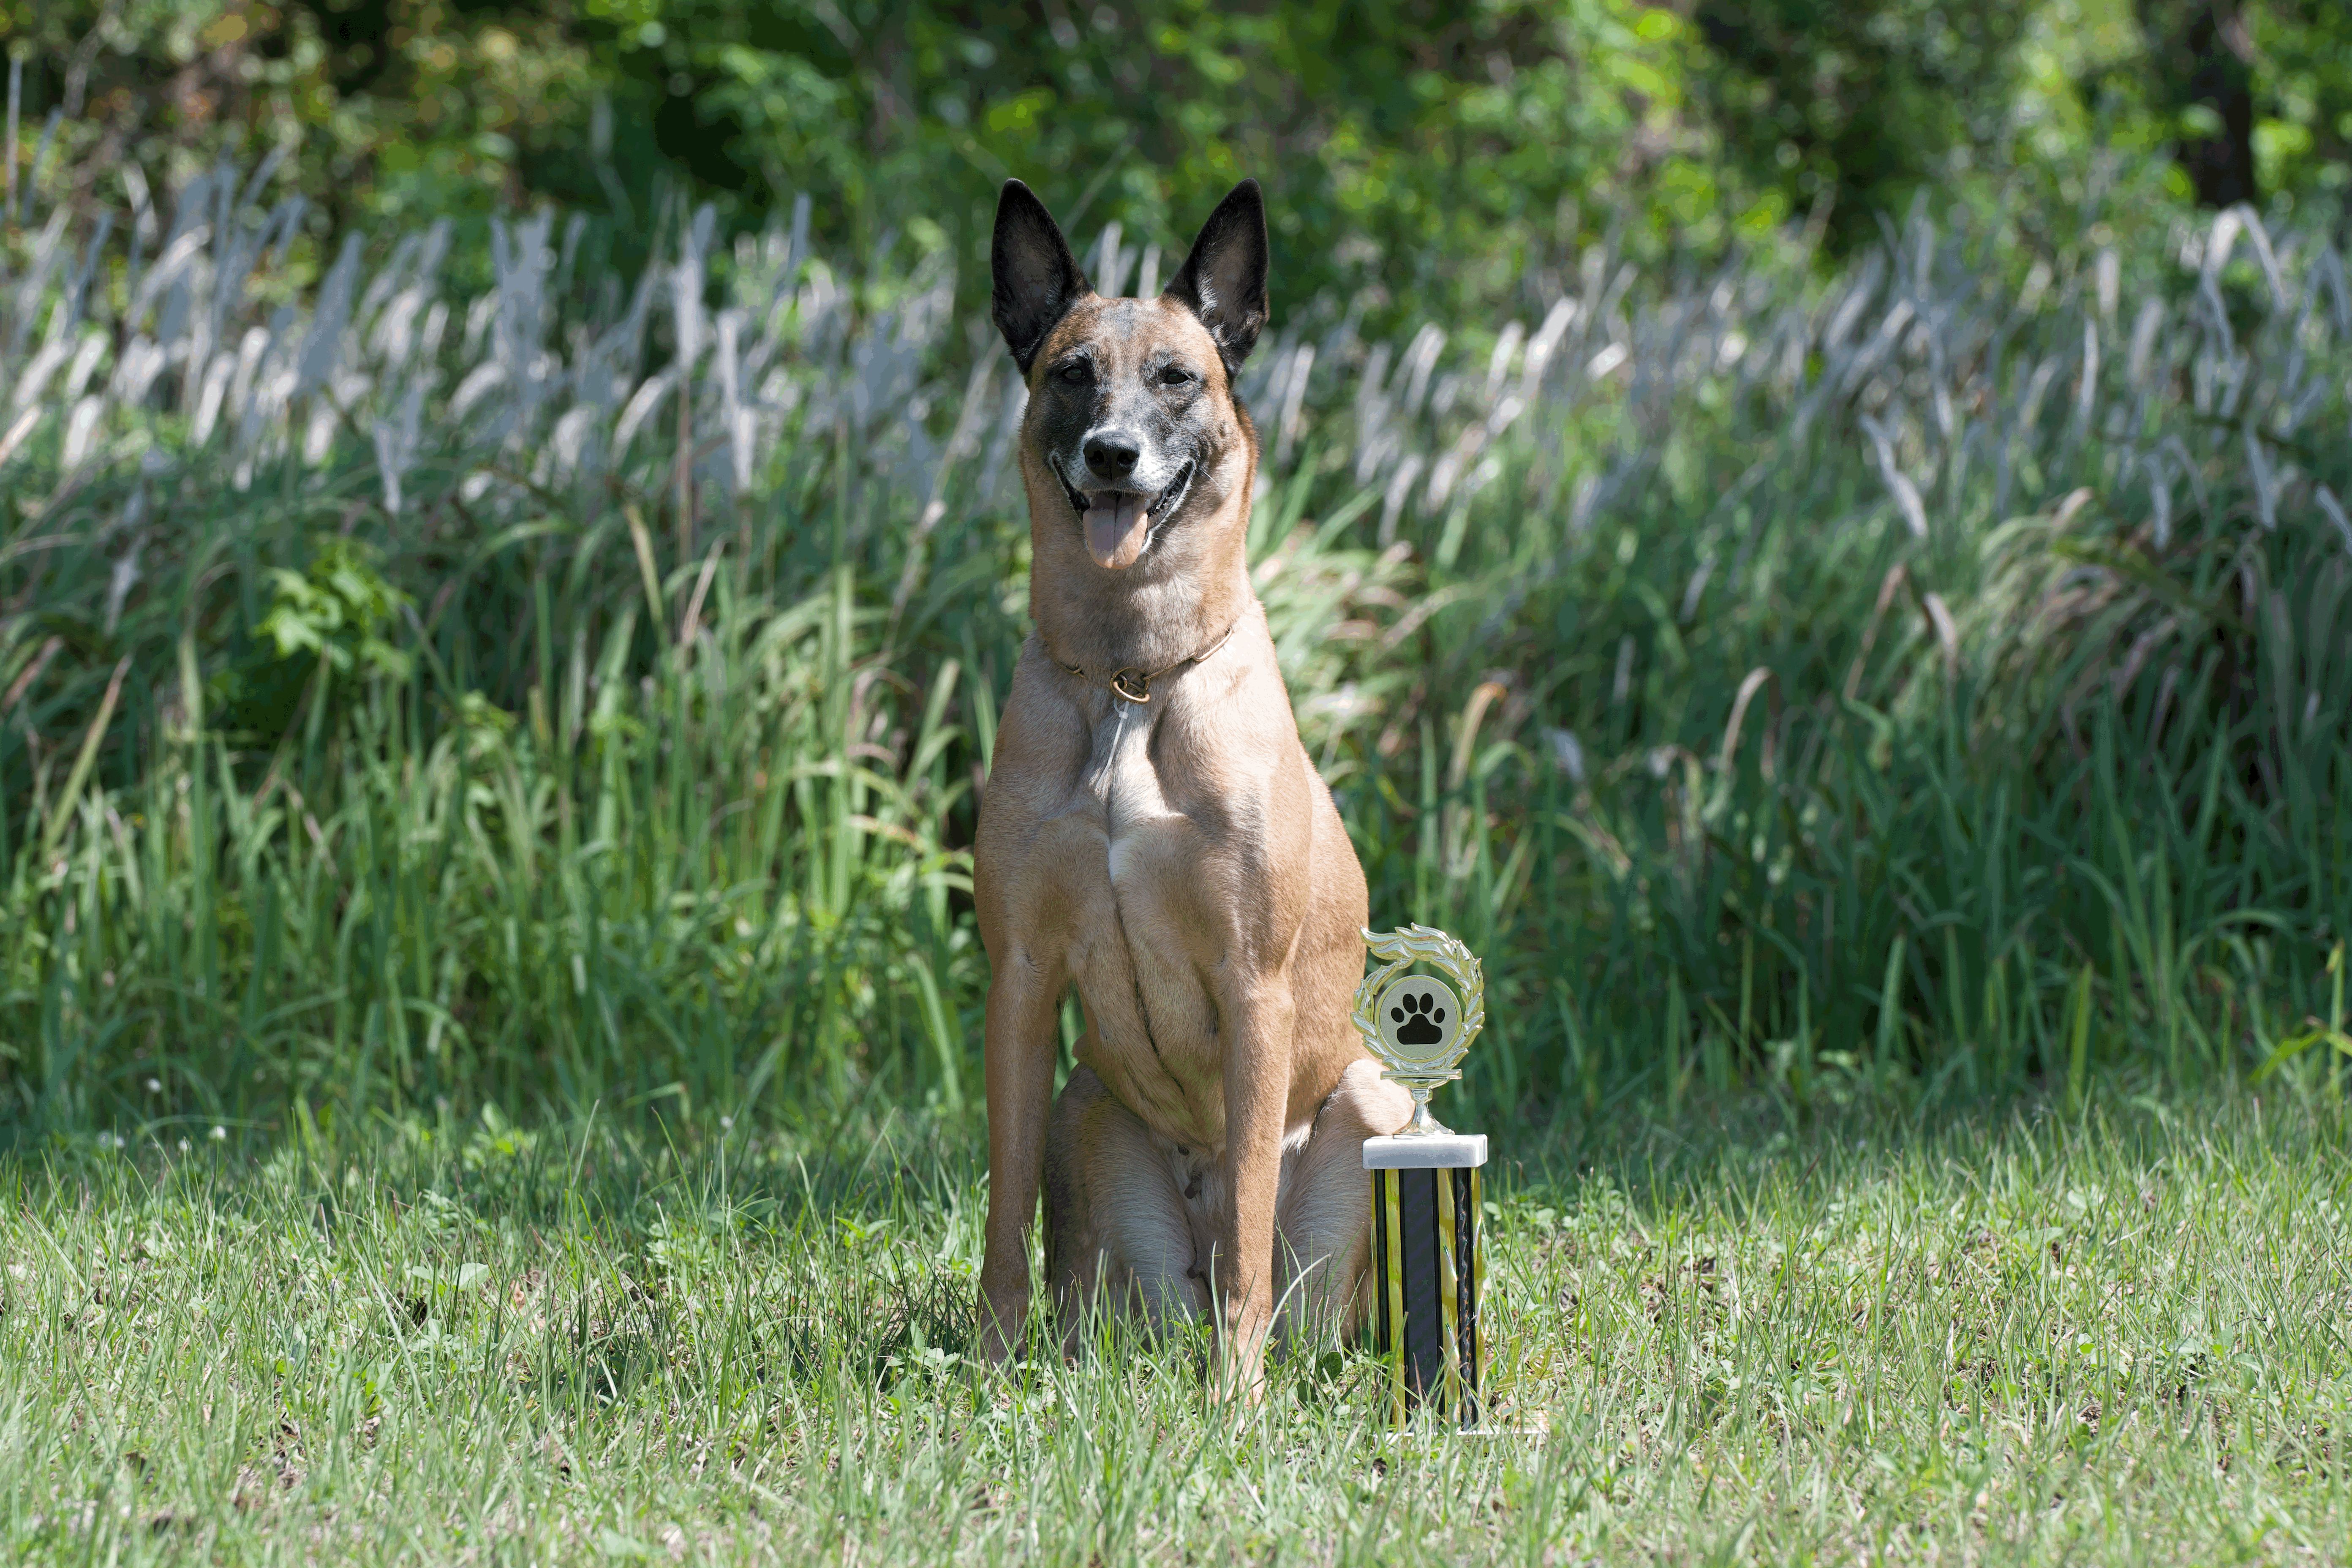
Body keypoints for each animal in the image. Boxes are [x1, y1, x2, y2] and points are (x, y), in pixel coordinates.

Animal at [972, 177, 1409, 1397]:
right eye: (1071, 371)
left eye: (1177, 376)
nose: (1113, 454)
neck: (1133, 676)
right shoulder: (1020, 982)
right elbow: (1001, 1221)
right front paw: (987, 1368)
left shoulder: (1252, 986)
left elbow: (1256, 1225)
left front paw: (1237, 1399)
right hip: (1085, 1105)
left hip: (1383, 1101)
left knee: (1267, 1262)